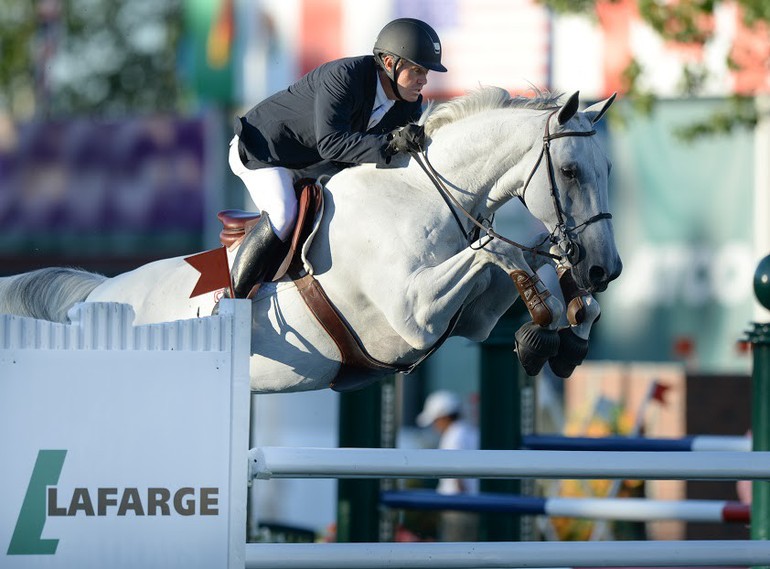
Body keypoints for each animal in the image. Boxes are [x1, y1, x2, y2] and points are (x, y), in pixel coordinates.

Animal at [0, 89, 616, 392]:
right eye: (569, 171)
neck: (424, 194)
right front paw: (546, 332)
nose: (604, 270)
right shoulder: (415, 312)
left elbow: (520, 268)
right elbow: (504, 251)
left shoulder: (473, 318)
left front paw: (568, 330)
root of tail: (95, 297)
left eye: (608, 168)